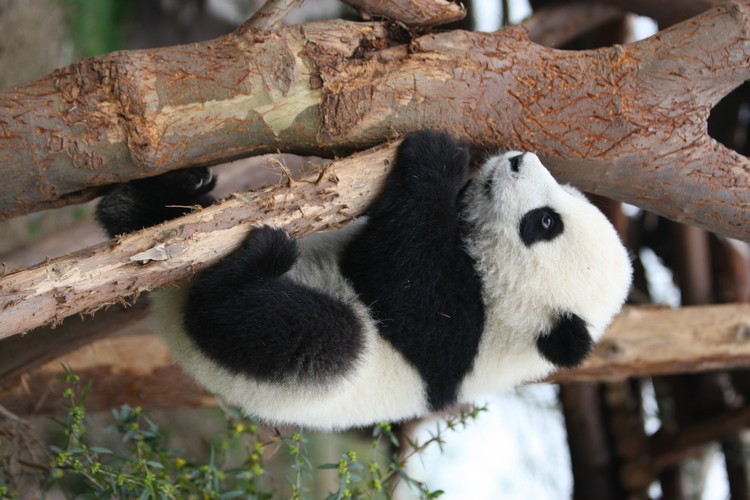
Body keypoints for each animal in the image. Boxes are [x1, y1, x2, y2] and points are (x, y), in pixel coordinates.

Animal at [97, 130, 632, 430]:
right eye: (561, 199)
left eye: (545, 223)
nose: (520, 159)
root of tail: (169, 319)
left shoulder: (456, 341)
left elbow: (401, 278)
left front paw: (438, 156)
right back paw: (159, 196)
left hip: (302, 369)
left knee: (314, 337)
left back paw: (251, 266)